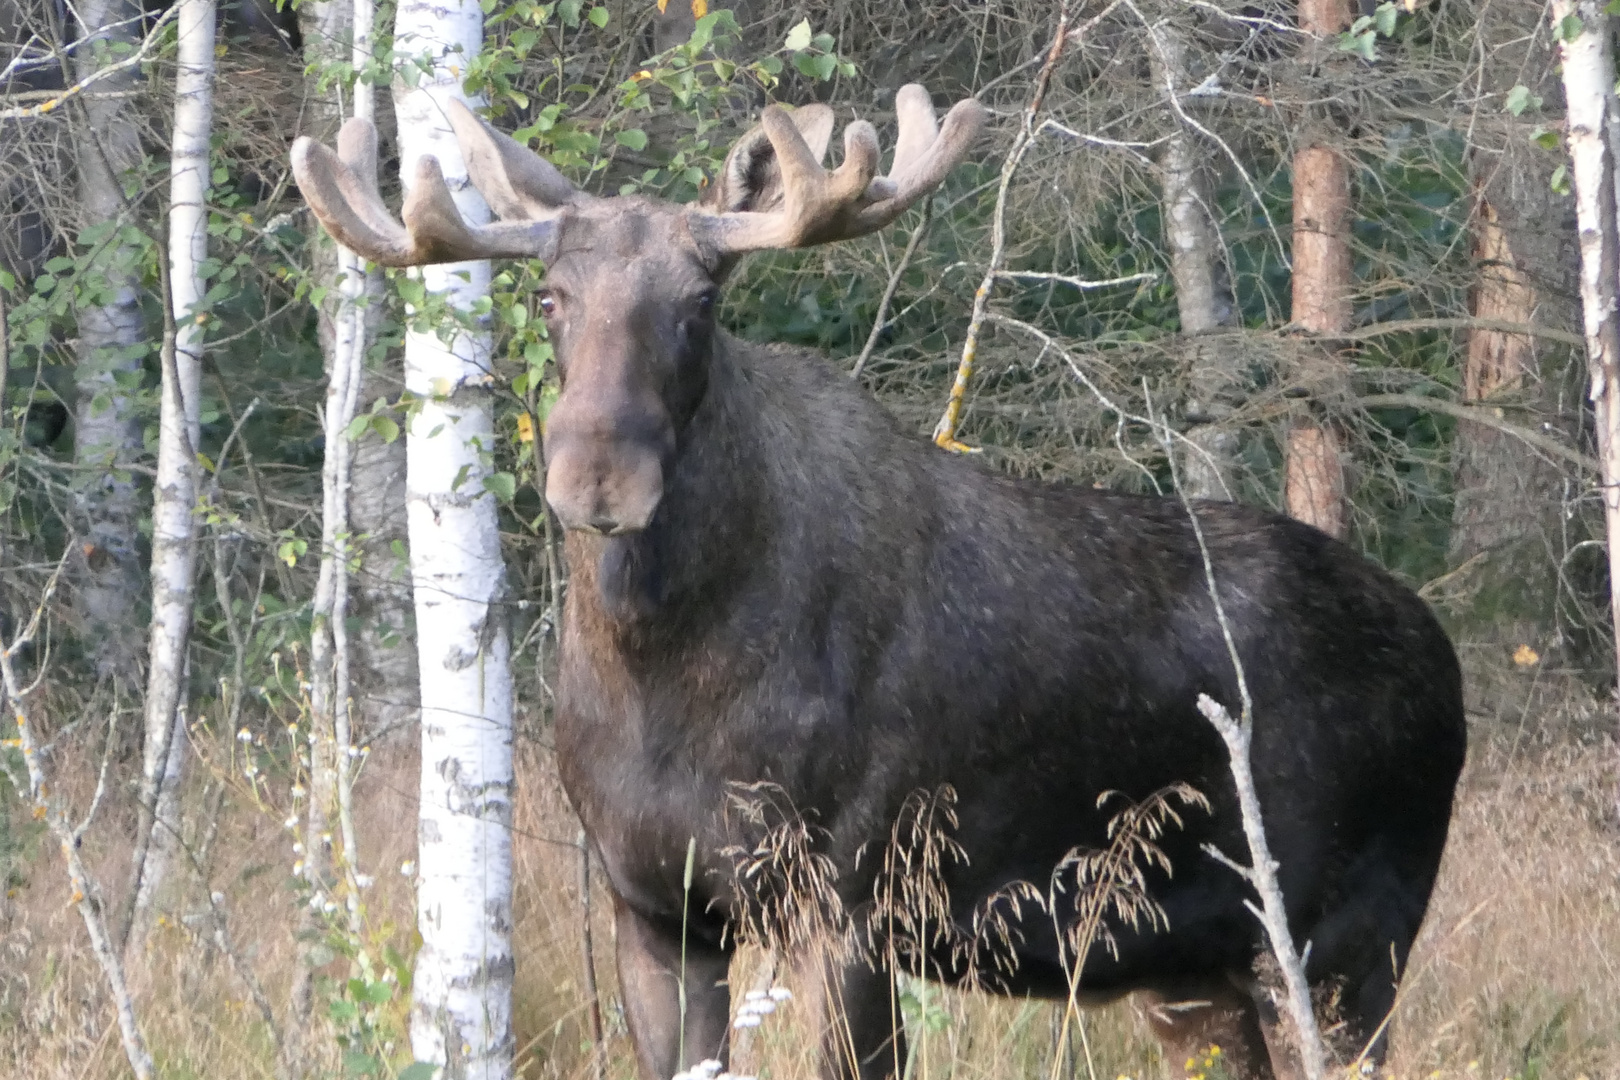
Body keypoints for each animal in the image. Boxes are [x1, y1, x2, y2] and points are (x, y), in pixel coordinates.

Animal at [291, 84, 1470, 1080]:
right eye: (548, 296)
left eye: (703, 299)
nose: (597, 476)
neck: (661, 675)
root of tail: (1444, 659)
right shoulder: (654, 907)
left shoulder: (854, 902)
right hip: (1189, 972)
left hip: (1343, 939)